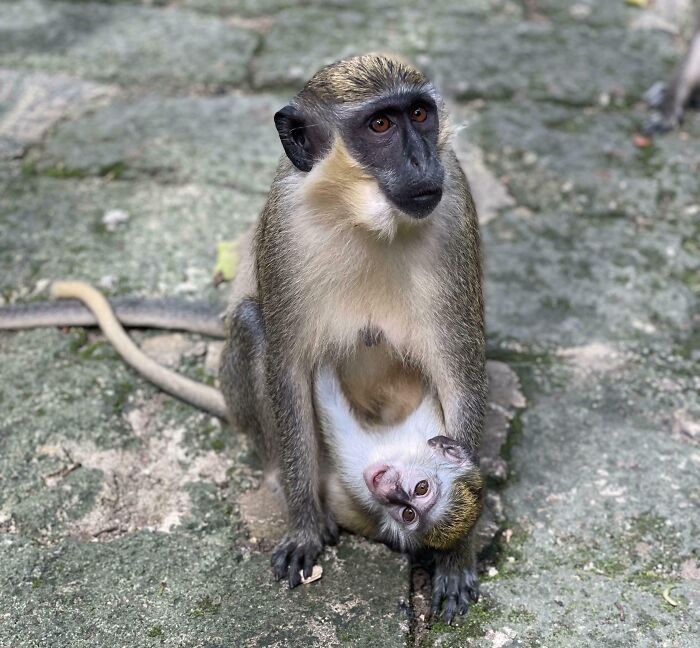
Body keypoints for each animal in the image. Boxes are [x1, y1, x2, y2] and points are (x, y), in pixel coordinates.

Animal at [218, 54, 487, 622]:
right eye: (380, 125)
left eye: (419, 114)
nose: (420, 160)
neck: (363, 218)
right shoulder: (285, 224)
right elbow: (288, 368)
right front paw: (302, 526)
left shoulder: (455, 203)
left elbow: (461, 378)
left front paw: (456, 557)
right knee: (251, 321)